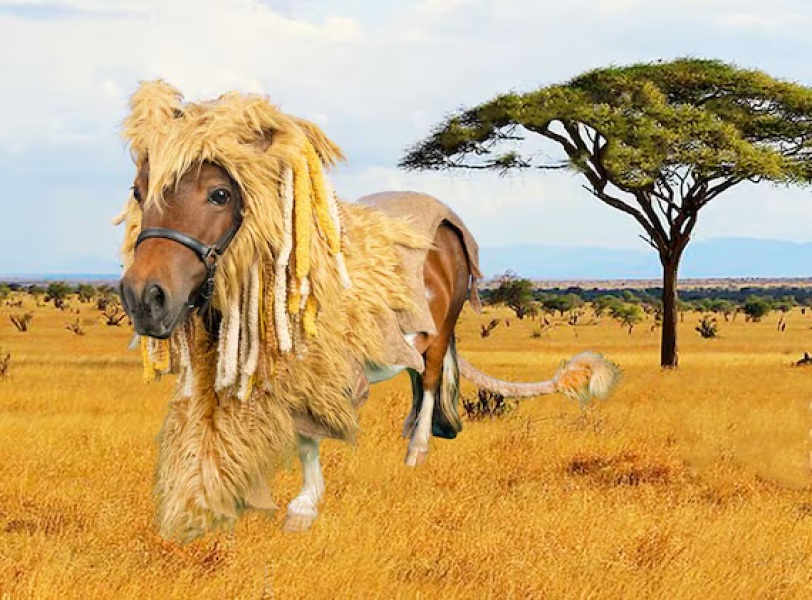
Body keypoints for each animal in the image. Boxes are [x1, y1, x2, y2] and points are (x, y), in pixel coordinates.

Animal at [117, 81, 620, 541]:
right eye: (139, 192)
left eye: (220, 194)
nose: (145, 298)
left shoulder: (318, 368)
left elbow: (308, 432)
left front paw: (303, 508)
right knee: (416, 374)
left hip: (442, 327)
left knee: (430, 378)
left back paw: (416, 449)